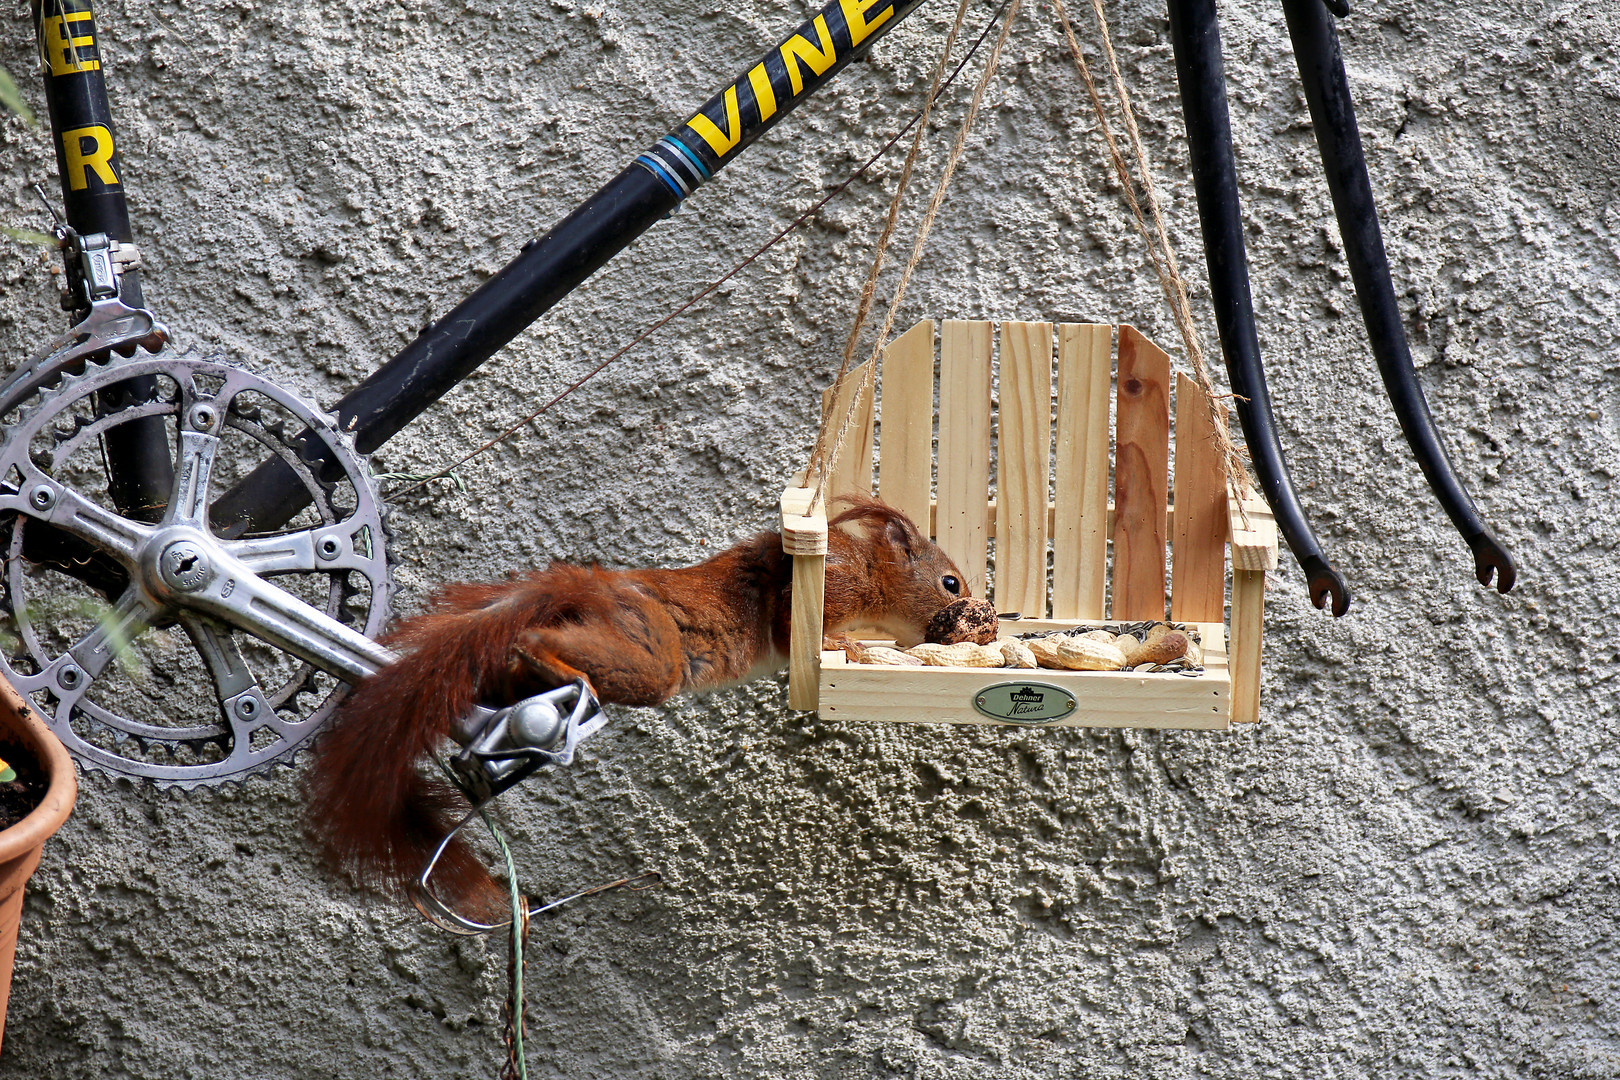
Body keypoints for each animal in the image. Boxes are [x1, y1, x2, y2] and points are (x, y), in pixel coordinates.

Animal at [304, 495, 959, 913]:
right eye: (951, 583)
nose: (969, 620)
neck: (872, 573)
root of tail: (595, 588)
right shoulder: (825, 588)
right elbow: (798, 625)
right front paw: (848, 645)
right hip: (651, 655)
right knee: (535, 642)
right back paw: (562, 676)